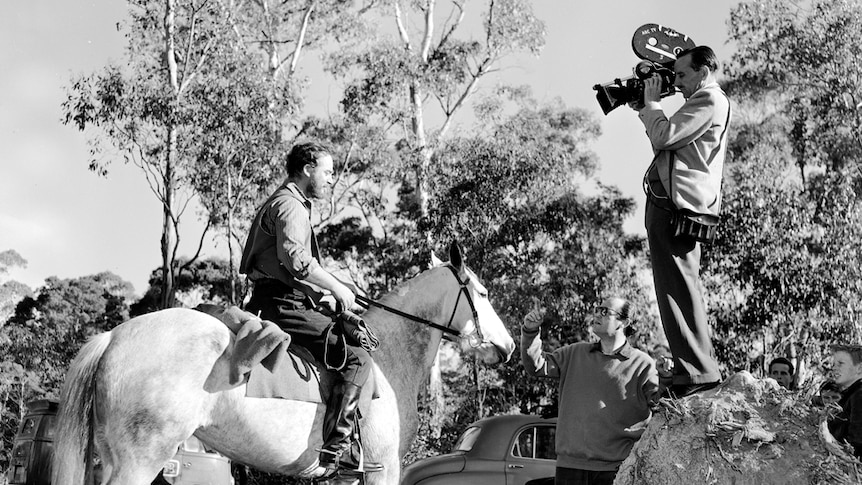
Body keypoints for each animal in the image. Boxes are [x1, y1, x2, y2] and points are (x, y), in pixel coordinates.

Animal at [50, 244, 516, 482]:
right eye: (483, 293)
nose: (508, 346)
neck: (388, 359)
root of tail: (113, 337)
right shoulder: (383, 468)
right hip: (140, 461)